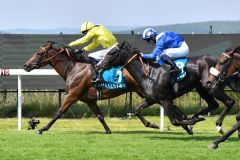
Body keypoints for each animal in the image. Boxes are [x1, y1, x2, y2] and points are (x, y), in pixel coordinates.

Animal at [23, 42, 193, 134]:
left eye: (38, 53)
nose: (25, 65)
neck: (74, 68)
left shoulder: (72, 95)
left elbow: (59, 112)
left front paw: (42, 128)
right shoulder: (89, 100)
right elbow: (100, 116)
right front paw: (108, 130)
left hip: (146, 91)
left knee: (170, 105)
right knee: (172, 105)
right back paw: (188, 125)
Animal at [105, 41, 236, 132]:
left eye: (111, 53)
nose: (102, 64)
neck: (148, 73)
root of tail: (219, 60)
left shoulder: (165, 99)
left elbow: (175, 121)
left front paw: (189, 123)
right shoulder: (152, 99)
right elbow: (137, 110)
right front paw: (152, 124)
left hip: (211, 86)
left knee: (229, 101)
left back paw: (218, 124)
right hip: (201, 89)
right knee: (213, 104)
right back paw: (197, 116)